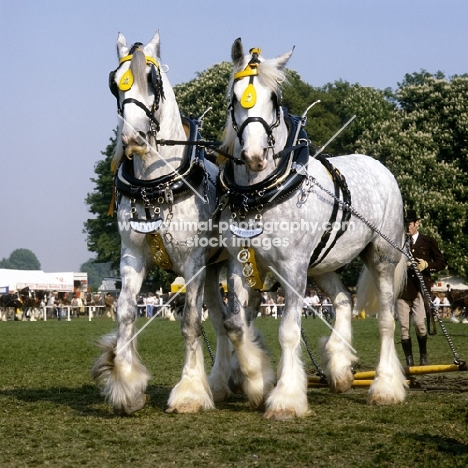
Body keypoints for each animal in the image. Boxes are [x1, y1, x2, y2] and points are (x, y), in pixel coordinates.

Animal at [91, 32, 225, 414]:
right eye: (113, 83)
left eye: (153, 80)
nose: (132, 138)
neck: (155, 183)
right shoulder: (133, 257)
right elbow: (124, 312)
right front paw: (126, 385)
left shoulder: (192, 263)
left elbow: (191, 322)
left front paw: (190, 392)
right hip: (214, 271)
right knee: (225, 321)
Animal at [217, 39, 410, 420]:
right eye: (234, 97)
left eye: (274, 98)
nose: (255, 156)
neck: (262, 194)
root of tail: (379, 165)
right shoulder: (241, 265)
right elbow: (236, 325)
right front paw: (257, 382)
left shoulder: (293, 268)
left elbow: (289, 331)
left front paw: (287, 398)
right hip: (322, 265)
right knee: (343, 300)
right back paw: (340, 368)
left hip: (381, 256)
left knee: (386, 320)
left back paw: (385, 386)